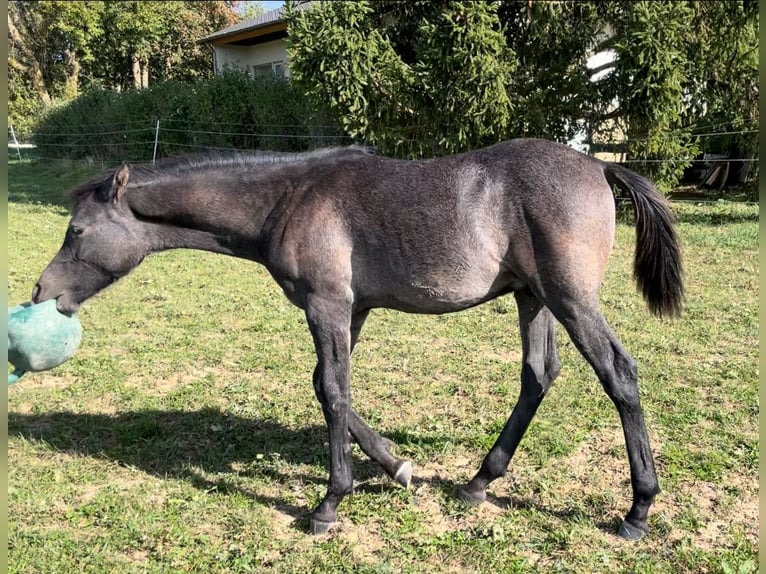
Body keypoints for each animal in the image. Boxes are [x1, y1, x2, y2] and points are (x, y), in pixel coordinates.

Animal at [32, 138, 683, 539]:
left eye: (77, 230)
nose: (42, 290)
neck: (288, 199)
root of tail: (598, 166)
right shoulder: (353, 310)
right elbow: (331, 387)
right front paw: (397, 466)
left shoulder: (327, 305)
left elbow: (332, 393)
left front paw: (328, 504)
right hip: (532, 297)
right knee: (538, 375)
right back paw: (478, 482)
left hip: (570, 299)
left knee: (618, 374)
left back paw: (637, 510)